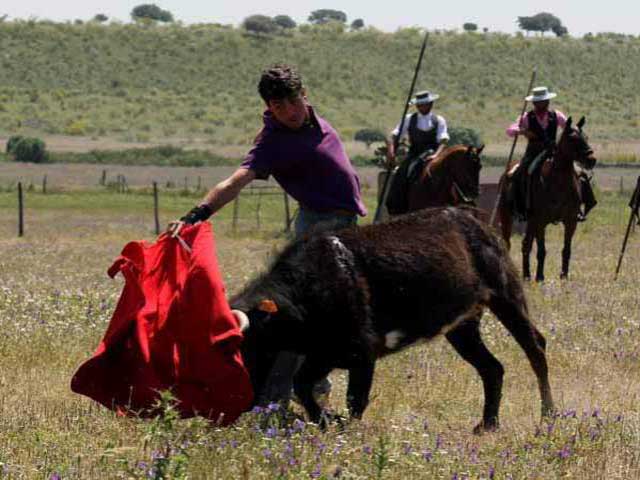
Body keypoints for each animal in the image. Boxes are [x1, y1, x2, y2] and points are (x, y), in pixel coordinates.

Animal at [231, 208, 556, 434]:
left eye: (245, 347)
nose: (239, 405)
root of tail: (475, 221)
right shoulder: (325, 353)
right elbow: (302, 384)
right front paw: (327, 420)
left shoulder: (362, 354)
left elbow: (355, 400)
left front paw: (343, 427)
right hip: (462, 327)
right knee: (492, 368)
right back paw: (488, 423)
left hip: (506, 297)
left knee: (535, 348)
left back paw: (547, 416)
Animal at [498, 116, 596, 282]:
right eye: (572, 139)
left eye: (586, 137)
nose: (591, 159)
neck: (558, 183)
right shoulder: (541, 221)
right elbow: (542, 250)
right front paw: (540, 277)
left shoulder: (570, 222)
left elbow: (566, 250)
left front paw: (564, 276)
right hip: (507, 217)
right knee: (508, 243)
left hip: (531, 222)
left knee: (525, 245)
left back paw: (526, 275)